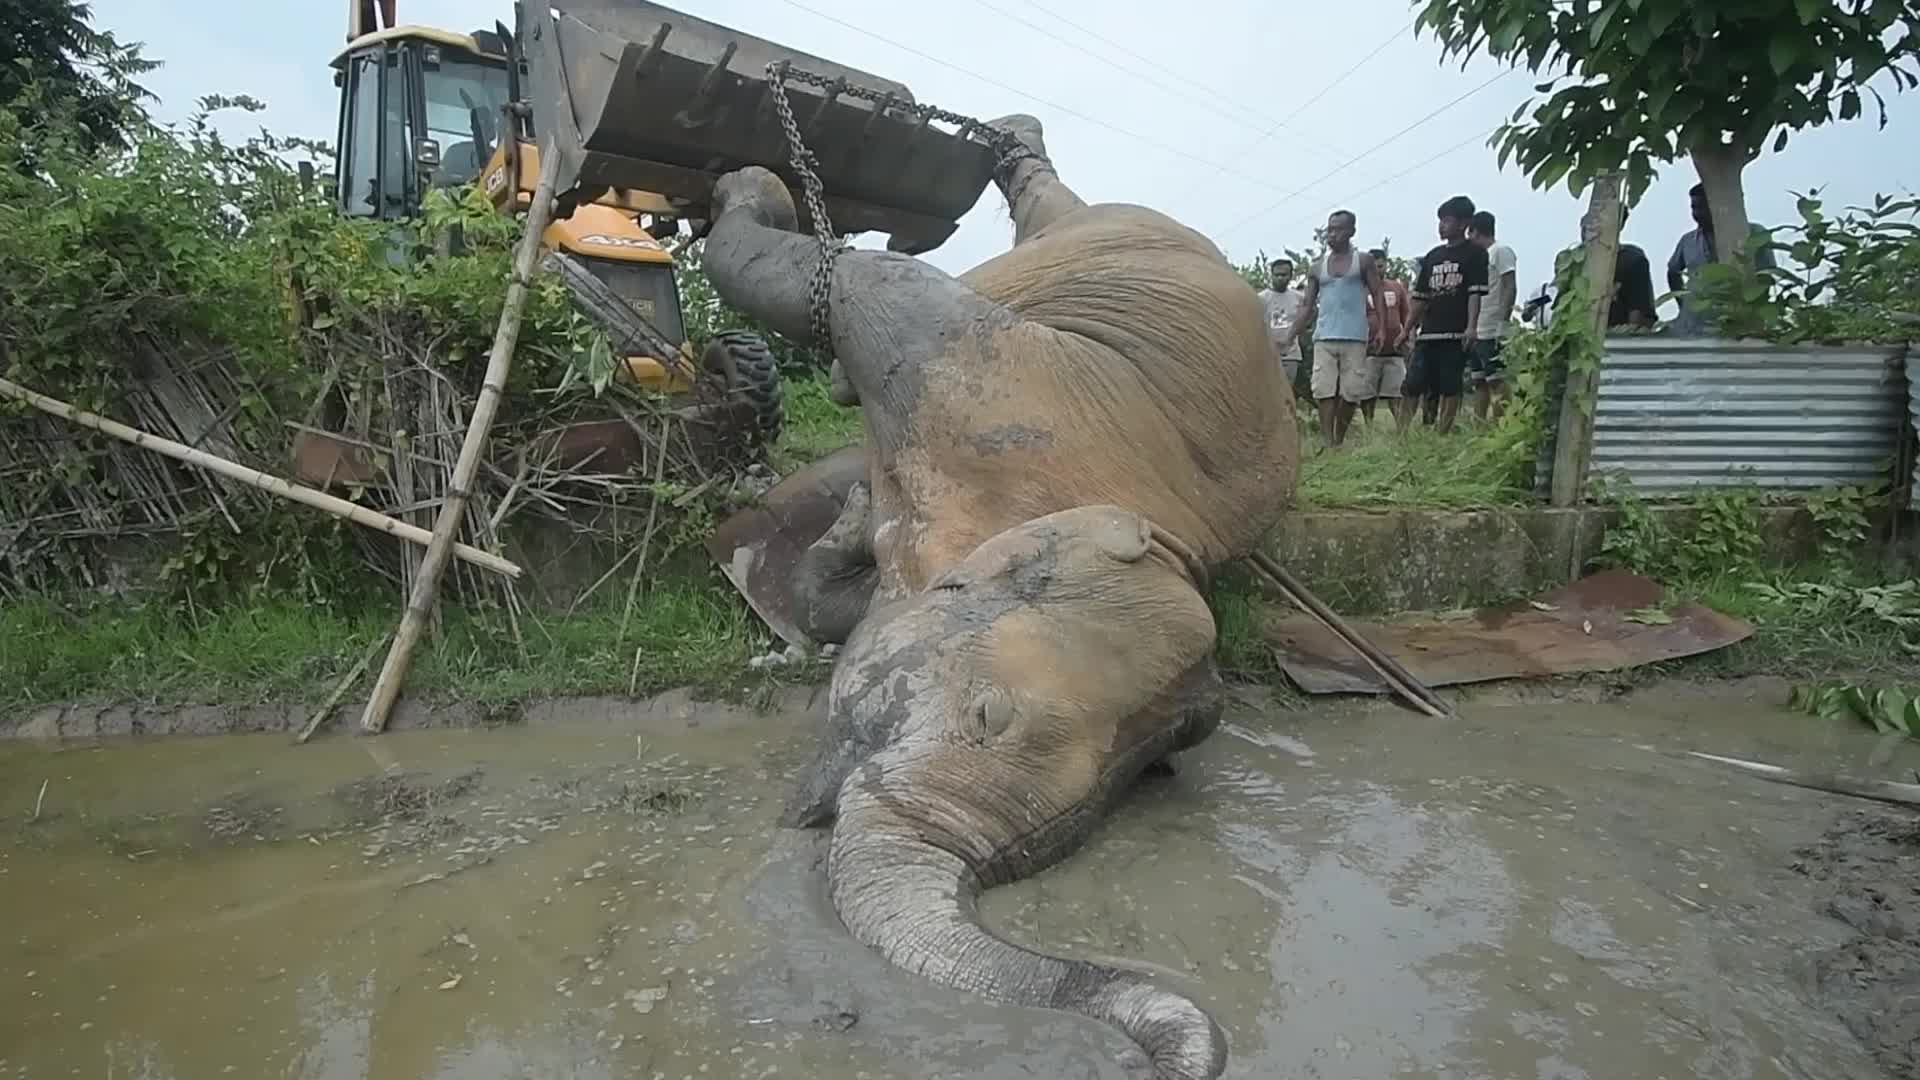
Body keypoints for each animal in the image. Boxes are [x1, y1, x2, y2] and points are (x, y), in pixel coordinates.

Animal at [701, 115, 1299, 1080]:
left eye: (1150, 772)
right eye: (989, 717)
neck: (1165, 533)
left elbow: (843, 613)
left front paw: (849, 527)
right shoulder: (979, 382)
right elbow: (851, 277)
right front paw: (754, 186)